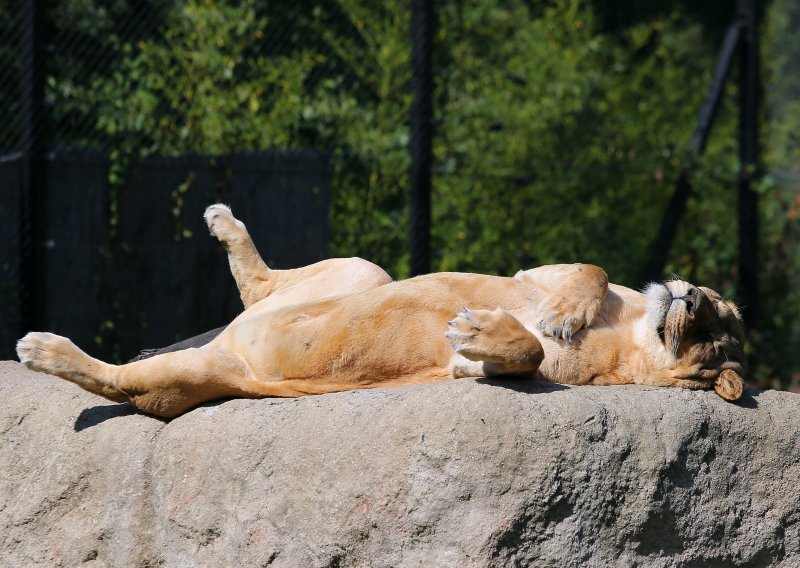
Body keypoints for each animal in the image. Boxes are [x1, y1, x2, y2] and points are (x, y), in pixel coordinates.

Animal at [17, 204, 744, 418]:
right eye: (717, 309)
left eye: (712, 331)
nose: (687, 296)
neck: (631, 332)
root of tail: (231, 342)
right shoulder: (536, 274)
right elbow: (591, 272)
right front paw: (562, 313)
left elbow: (525, 353)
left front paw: (475, 332)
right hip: (365, 271)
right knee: (261, 286)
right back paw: (223, 220)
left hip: (190, 379)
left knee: (116, 382)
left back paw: (43, 348)